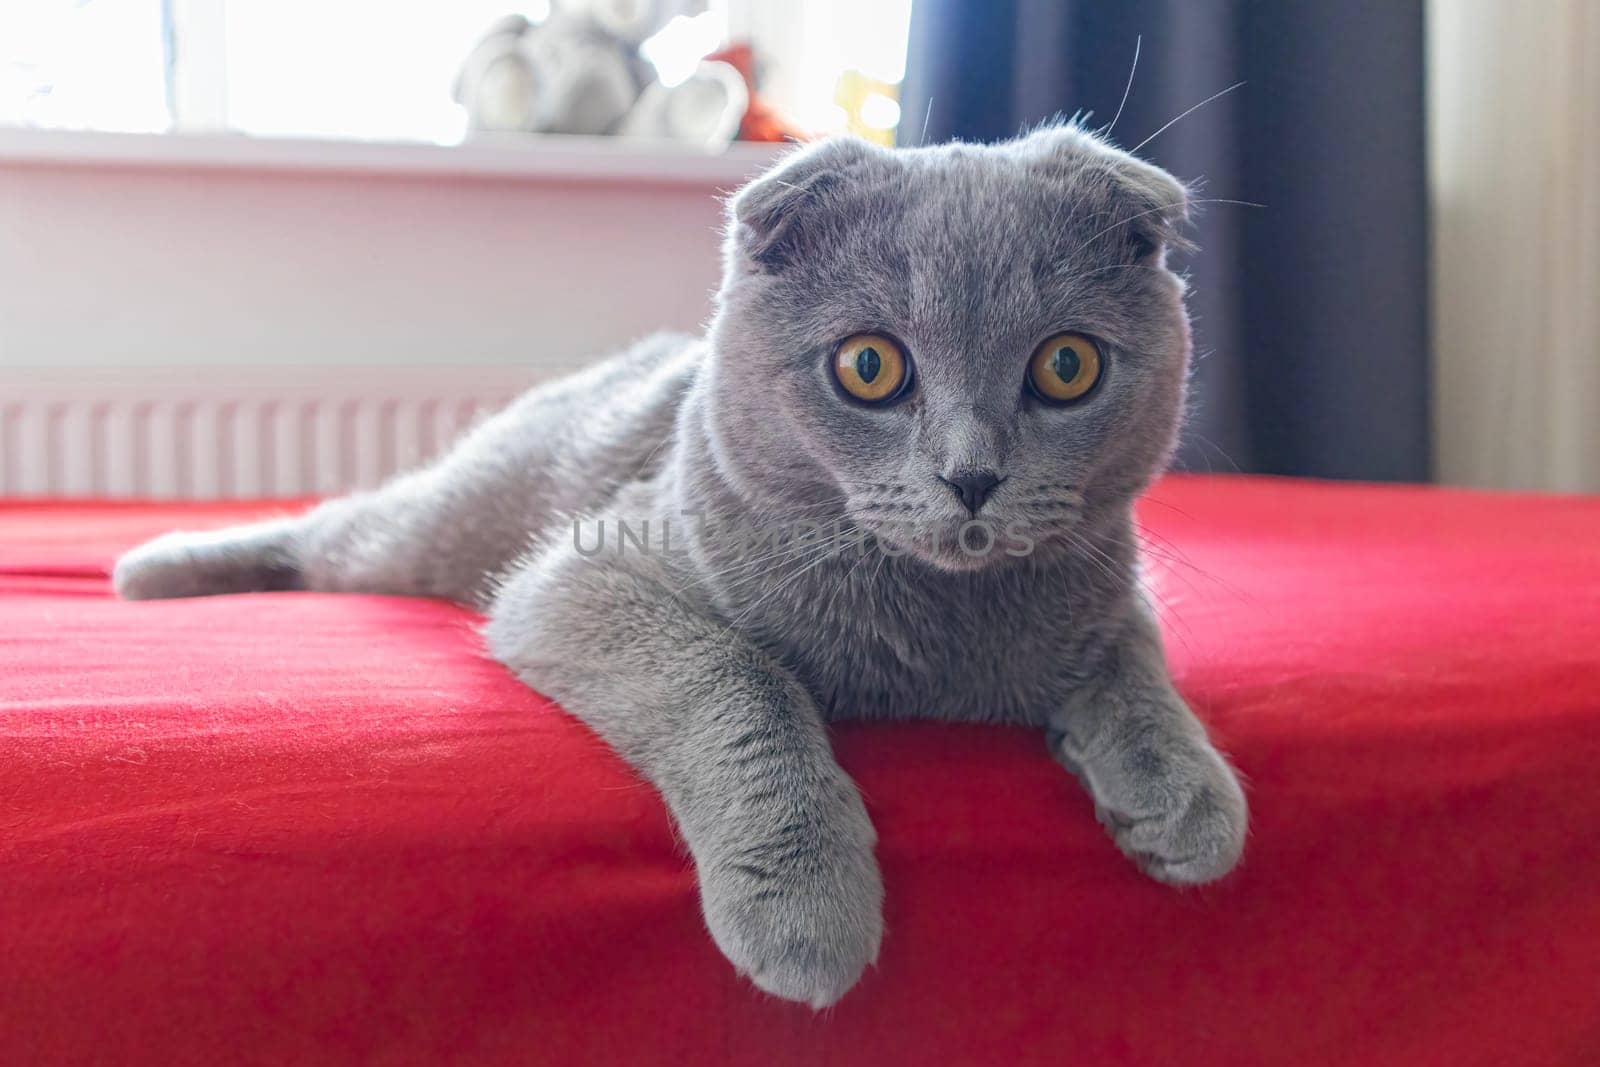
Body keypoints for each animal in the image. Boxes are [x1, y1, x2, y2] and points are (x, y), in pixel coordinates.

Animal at [118, 127, 1254, 1011]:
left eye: (1067, 366)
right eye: (869, 365)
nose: (970, 476)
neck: (932, 631)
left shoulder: (1110, 578)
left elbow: (1129, 656)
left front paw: (1184, 795)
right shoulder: (584, 579)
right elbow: (736, 675)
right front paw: (805, 903)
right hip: (444, 528)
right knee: (335, 529)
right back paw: (149, 568)